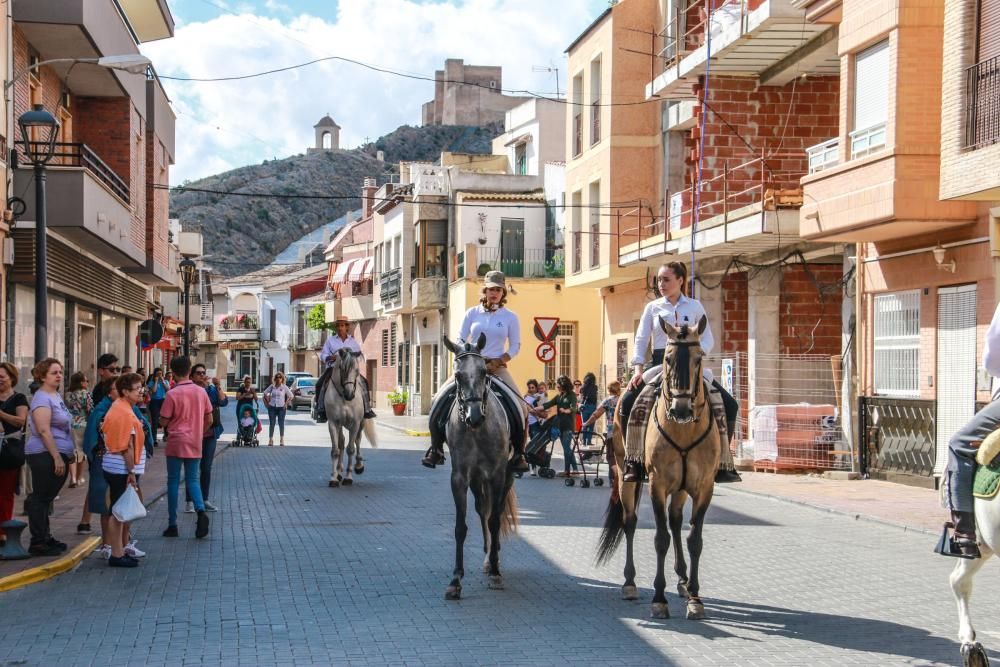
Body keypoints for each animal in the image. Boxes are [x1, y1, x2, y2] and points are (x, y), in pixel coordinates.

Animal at [324, 348, 378, 488]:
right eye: (342, 369)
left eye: (357, 370)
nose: (350, 394)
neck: (344, 399)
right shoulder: (333, 423)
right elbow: (336, 450)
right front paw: (333, 478)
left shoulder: (355, 423)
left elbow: (351, 449)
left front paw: (348, 477)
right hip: (341, 425)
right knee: (342, 442)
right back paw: (339, 471)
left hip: (361, 423)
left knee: (357, 441)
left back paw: (358, 465)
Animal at [442, 334, 520, 600]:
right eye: (457, 375)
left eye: (484, 371)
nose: (474, 417)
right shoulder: (459, 478)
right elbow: (460, 527)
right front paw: (455, 579)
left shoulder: (497, 475)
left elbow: (496, 521)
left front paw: (496, 572)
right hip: (477, 480)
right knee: (482, 511)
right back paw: (488, 556)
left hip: (506, 477)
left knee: (494, 513)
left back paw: (493, 559)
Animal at [592, 318, 720, 620]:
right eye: (668, 359)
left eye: (699, 358)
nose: (682, 409)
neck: (684, 430)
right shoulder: (658, 485)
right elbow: (660, 538)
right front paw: (659, 600)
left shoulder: (704, 487)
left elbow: (694, 539)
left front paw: (695, 598)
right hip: (625, 476)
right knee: (629, 521)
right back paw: (629, 583)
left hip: (682, 488)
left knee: (675, 520)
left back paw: (683, 581)